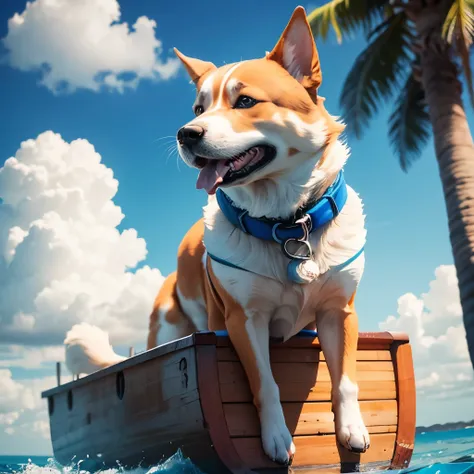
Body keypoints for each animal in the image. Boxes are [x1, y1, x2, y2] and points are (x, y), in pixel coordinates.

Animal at [65, 6, 370, 466]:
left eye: (245, 101)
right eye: (198, 107)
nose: (186, 133)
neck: (286, 222)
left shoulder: (339, 313)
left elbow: (347, 380)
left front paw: (352, 429)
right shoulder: (244, 321)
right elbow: (266, 384)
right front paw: (275, 439)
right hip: (172, 329)